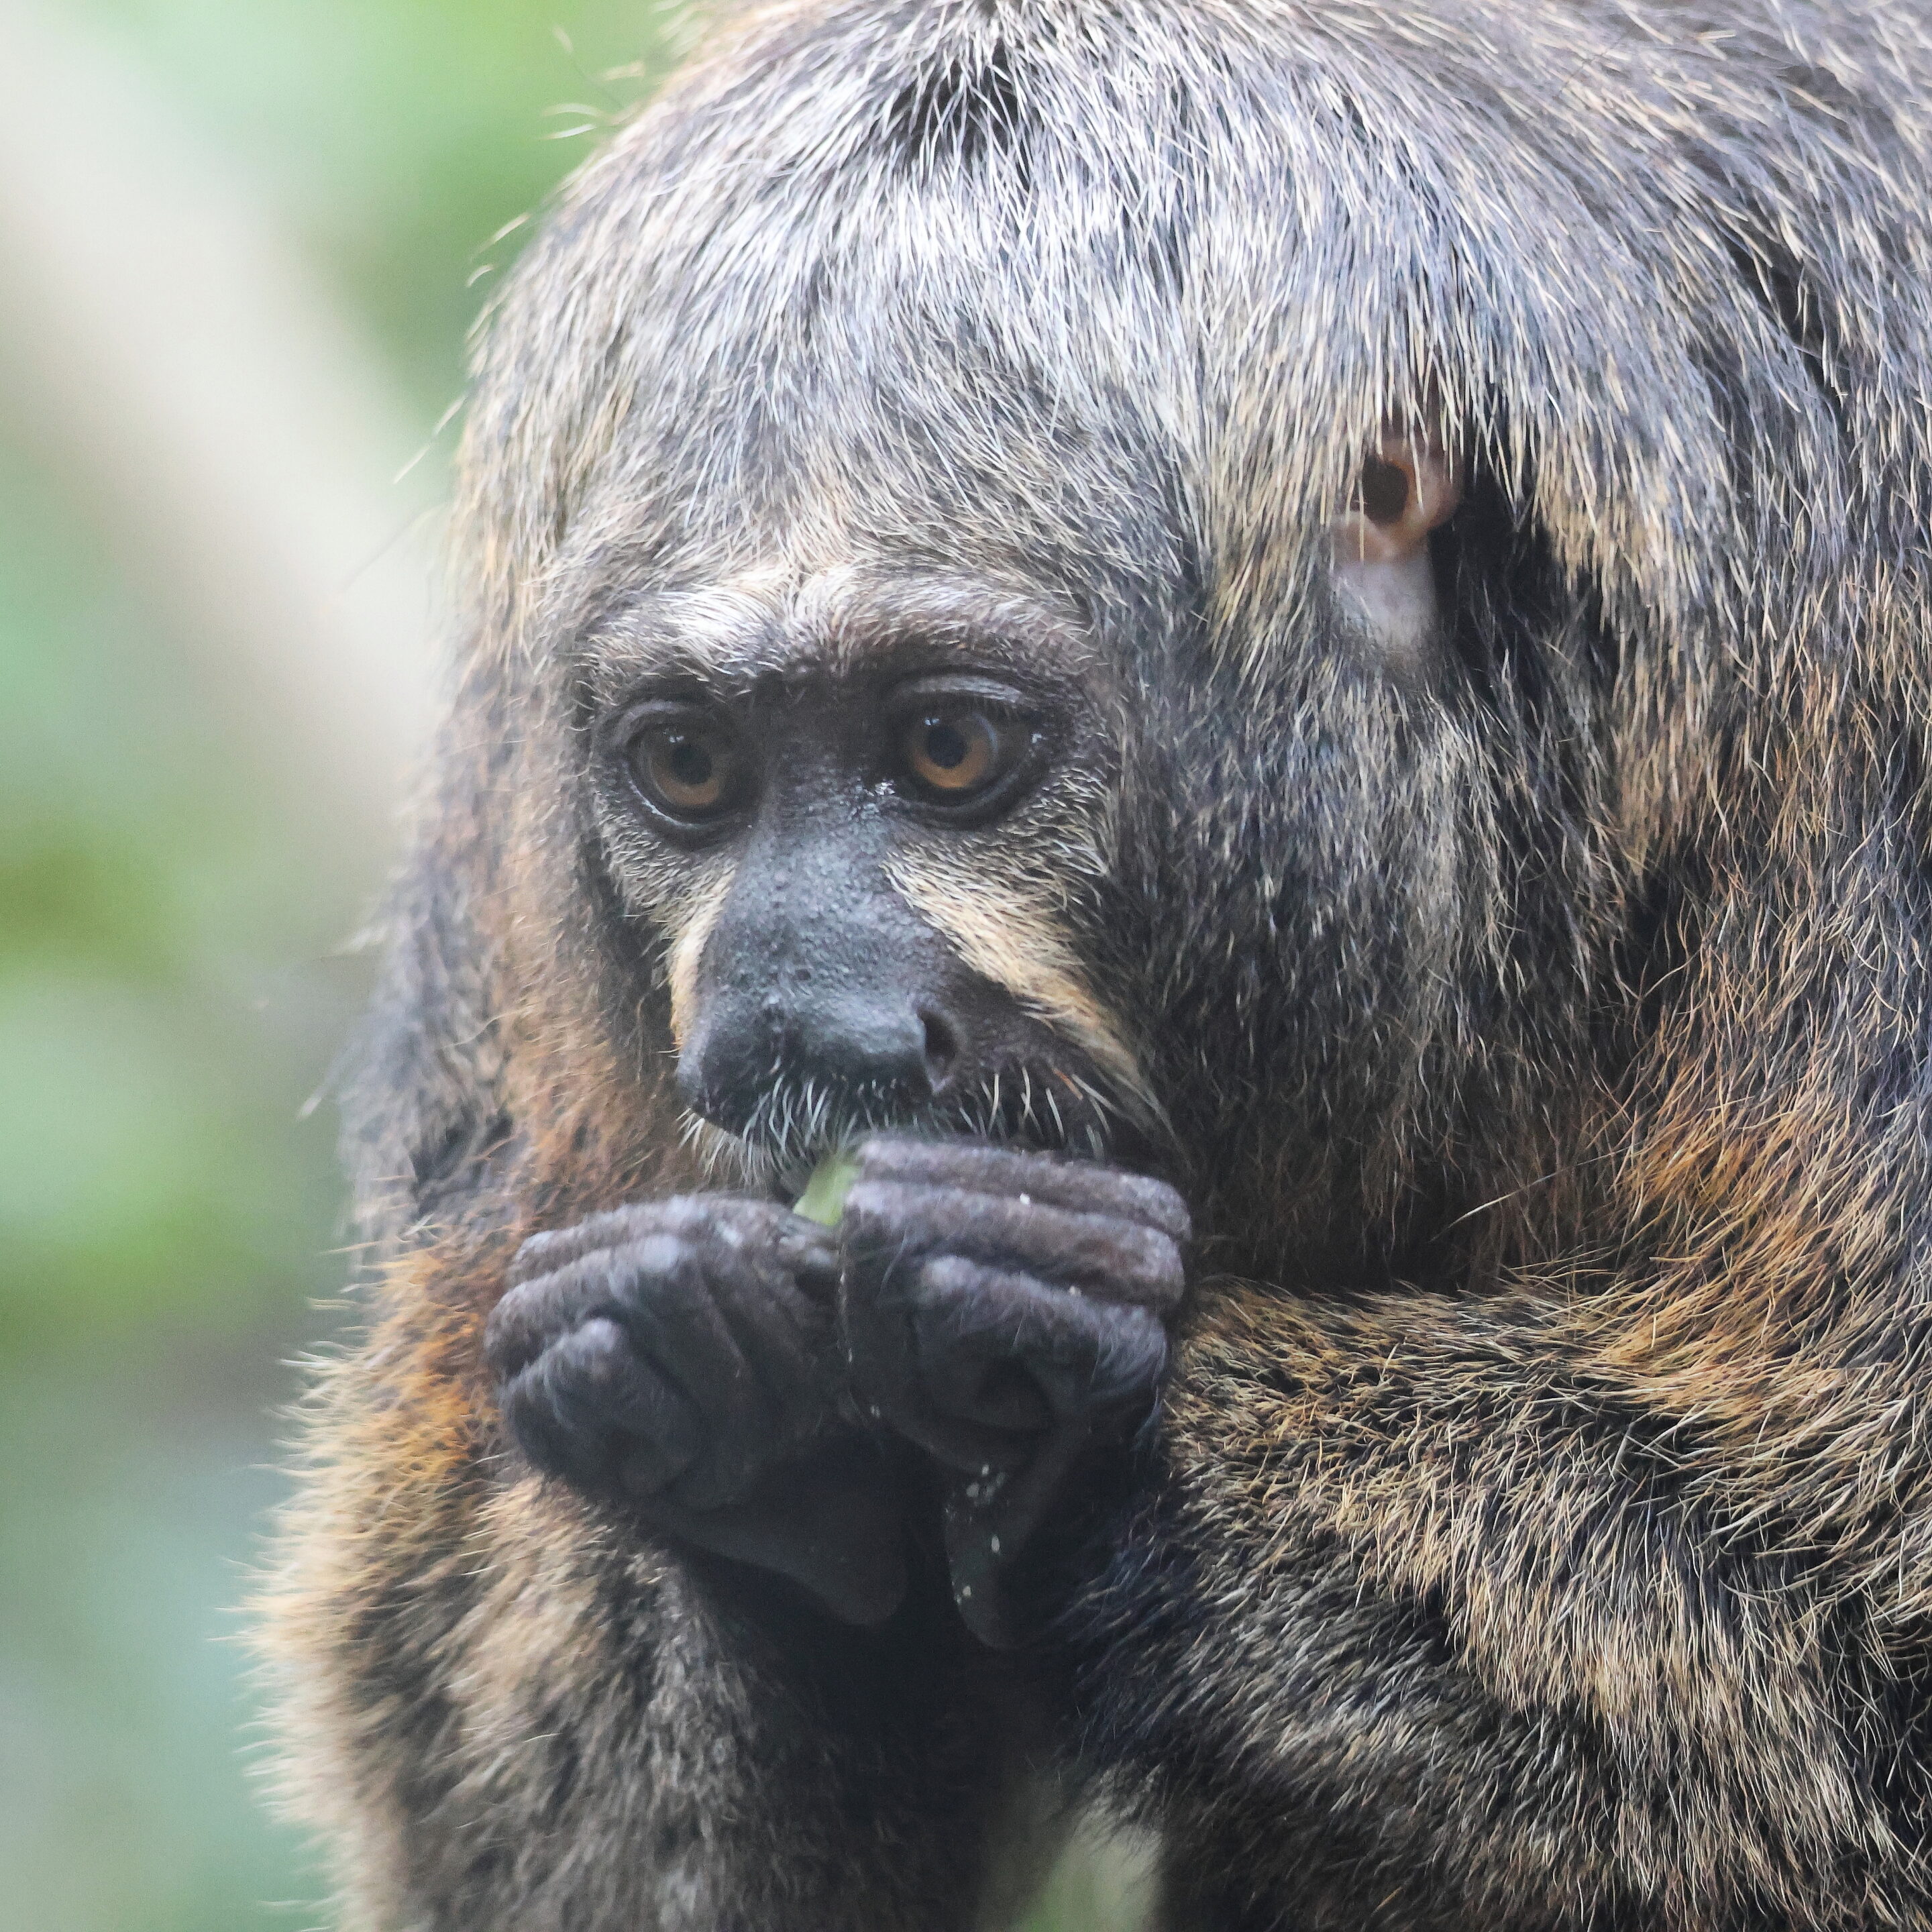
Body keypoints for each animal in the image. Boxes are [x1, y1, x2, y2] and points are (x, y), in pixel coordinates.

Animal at [254, 0, 1932, 1927]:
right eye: (687, 768)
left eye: (949, 749)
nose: (790, 1021)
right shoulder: (509, 871)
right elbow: (520, 1838)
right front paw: (739, 1441)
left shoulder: (1873, 767)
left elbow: (1867, 1648)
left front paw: (1073, 1404)